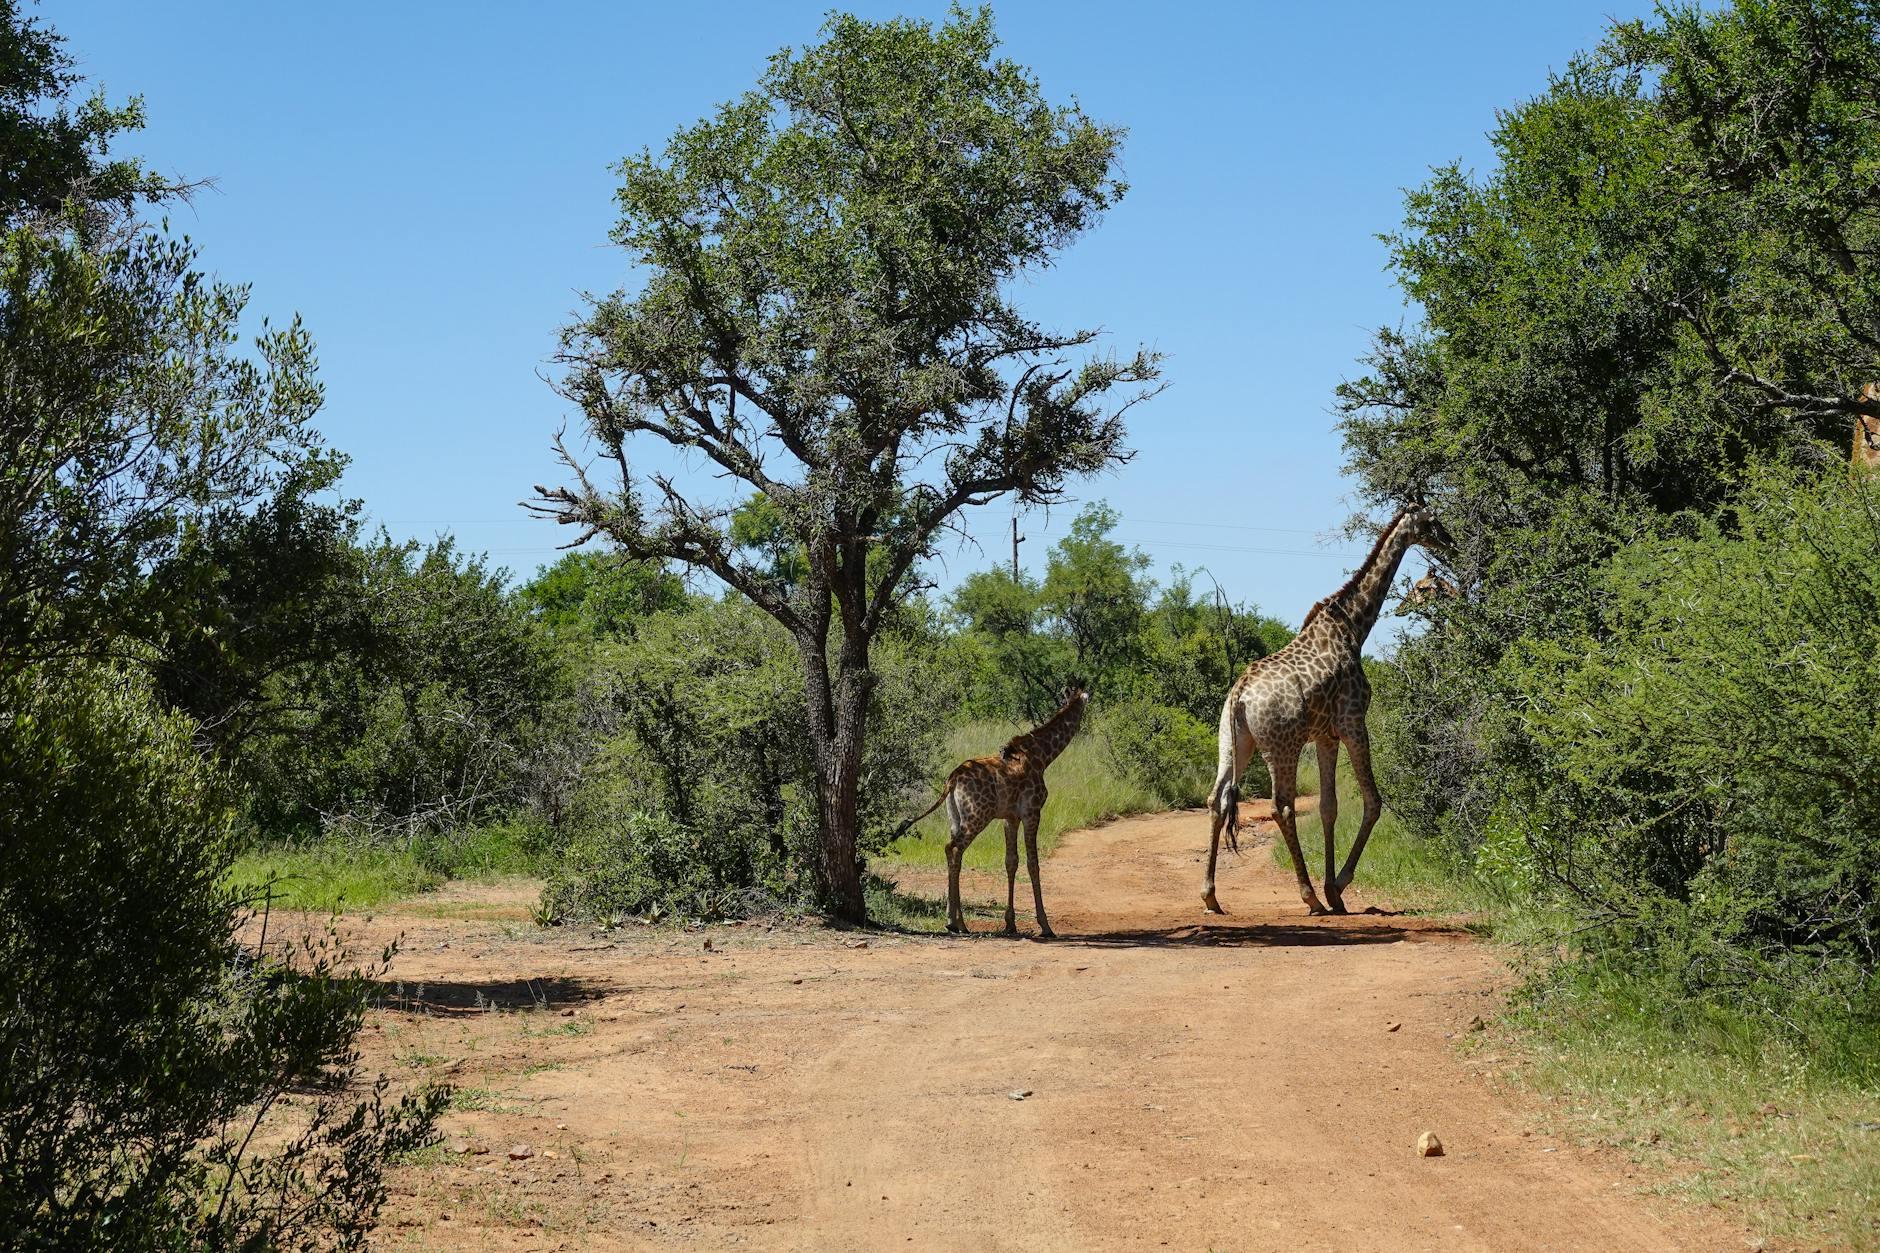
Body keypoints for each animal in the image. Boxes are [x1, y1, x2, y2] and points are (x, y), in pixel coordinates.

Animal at [891, 687, 1090, 937]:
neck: (1044, 756)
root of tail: (952, 780)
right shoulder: (1032, 812)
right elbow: (1033, 863)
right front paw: (1045, 925)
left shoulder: (1010, 818)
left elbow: (1011, 862)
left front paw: (1010, 923)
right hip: (977, 816)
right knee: (953, 849)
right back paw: (958, 923)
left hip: (955, 818)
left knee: (951, 851)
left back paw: (953, 920)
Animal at [1203, 505, 1451, 917]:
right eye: (1431, 521)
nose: (1448, 541)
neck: (1354, 627)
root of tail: (1239, 694)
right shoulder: (1353, 722)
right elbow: (1373, 802)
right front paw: (1336, 887)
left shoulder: (1325, 735)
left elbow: (1327, 807)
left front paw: (1335, 890)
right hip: (1282, 746)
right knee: (1282, 807)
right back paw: (1310, 897)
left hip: (1234, 740)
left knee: (1217, 799)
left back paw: (1211, 896)